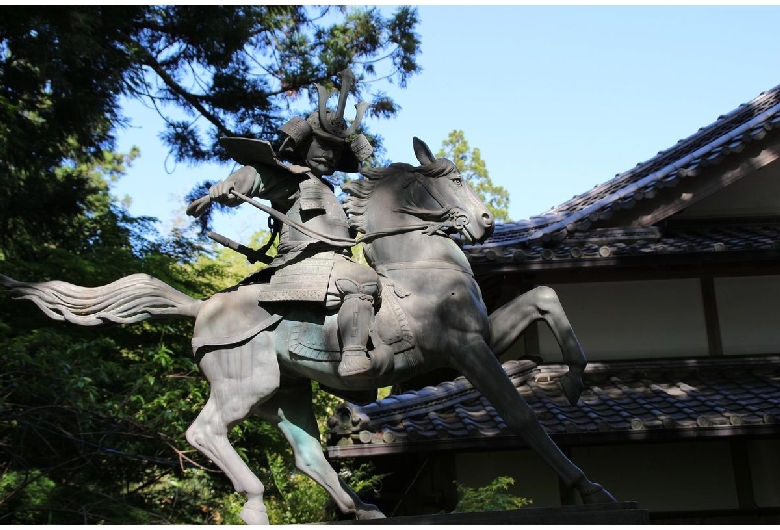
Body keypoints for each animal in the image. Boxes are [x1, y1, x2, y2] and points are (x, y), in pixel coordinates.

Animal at [4, 137, 616, 524]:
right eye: (459, 179)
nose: (485, 225)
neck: (417, 267)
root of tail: (200, 309)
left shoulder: (480, 337)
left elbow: (545, 297)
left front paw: (574, 381)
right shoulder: (465, 350)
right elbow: (520, 416)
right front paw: (589, 486)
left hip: (285, 392)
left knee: (306, 454)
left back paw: (359, 508)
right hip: (242, 383)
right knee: (205, 433)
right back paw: (256, 503)